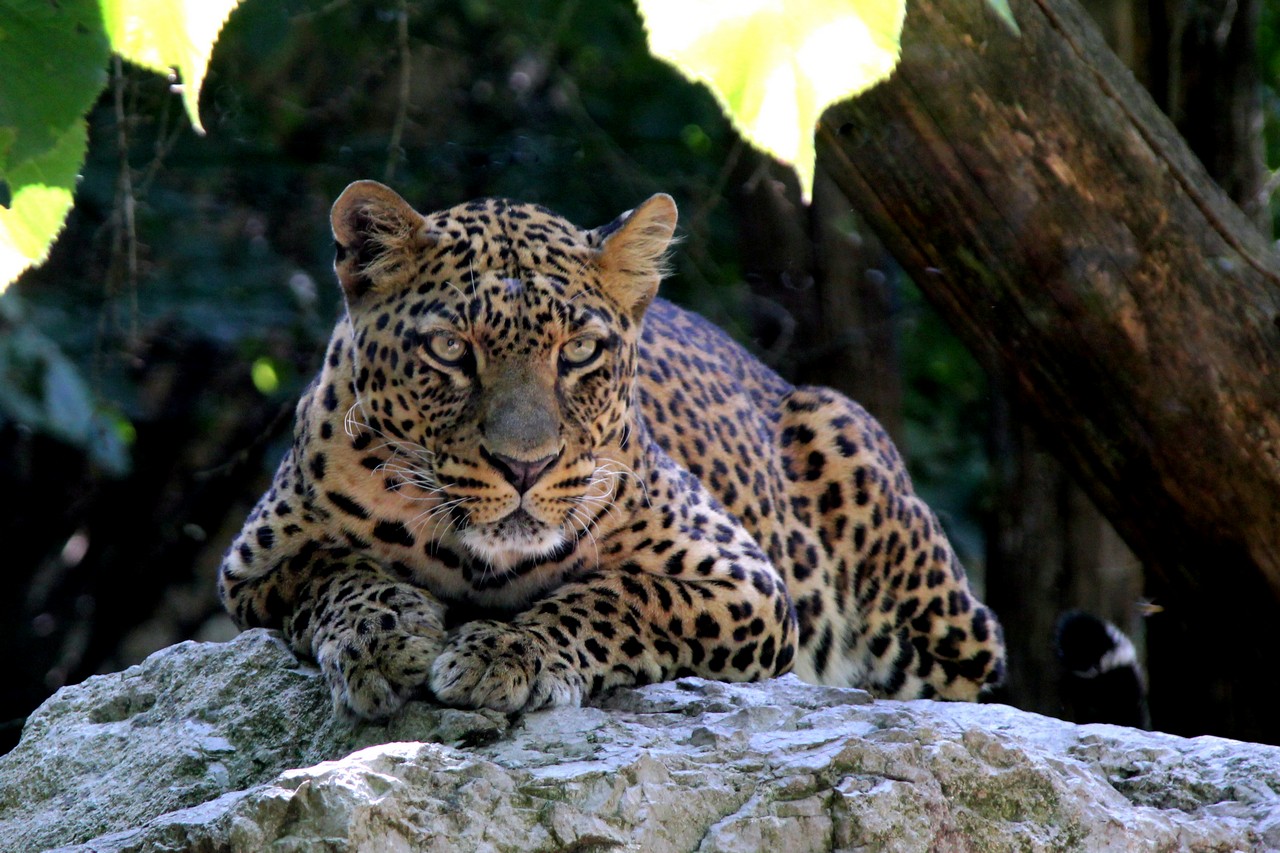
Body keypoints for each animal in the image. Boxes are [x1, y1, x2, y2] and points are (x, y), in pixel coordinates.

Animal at [218, 179, 1006, 720]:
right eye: (450, 350)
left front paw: (507, 653)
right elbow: (332, 568)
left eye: (580, 351)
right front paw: (382, 638)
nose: (525, 466)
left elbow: (620, 596)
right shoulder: (252, 567)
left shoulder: (745, 580)